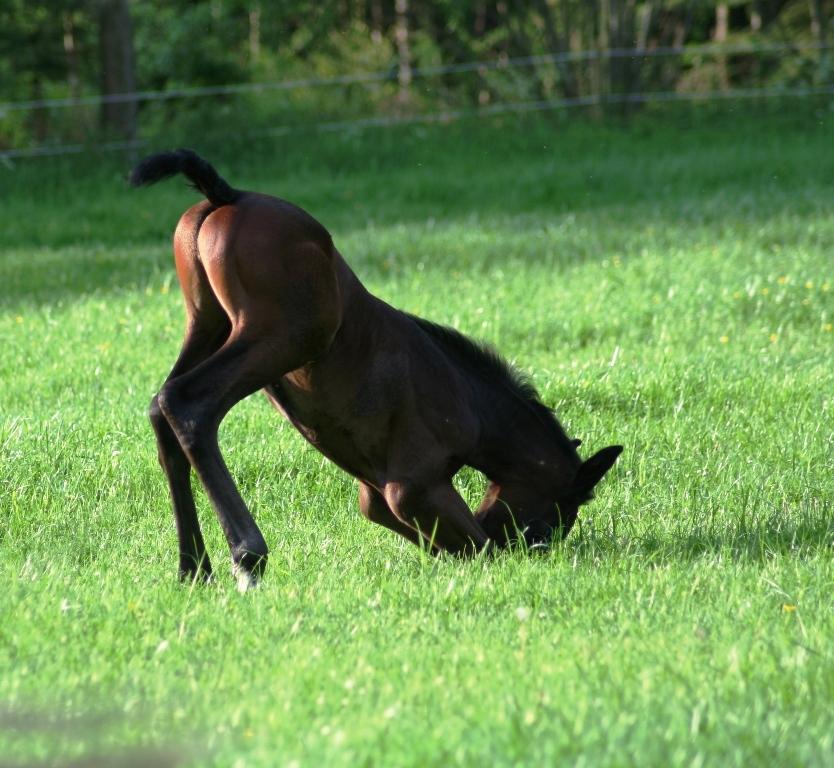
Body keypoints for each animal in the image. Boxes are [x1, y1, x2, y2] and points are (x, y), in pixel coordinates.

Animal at [132, 150, 616, 588]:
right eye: (562, 511)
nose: (537, 548)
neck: (469, 399)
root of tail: (228, 195)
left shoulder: (381, 497)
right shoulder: (416, 488)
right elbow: (482, 550)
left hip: (208, 323)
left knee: (160, 408)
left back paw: (193, 568)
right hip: (282, 338)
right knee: (188, 403)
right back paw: (248, 558)